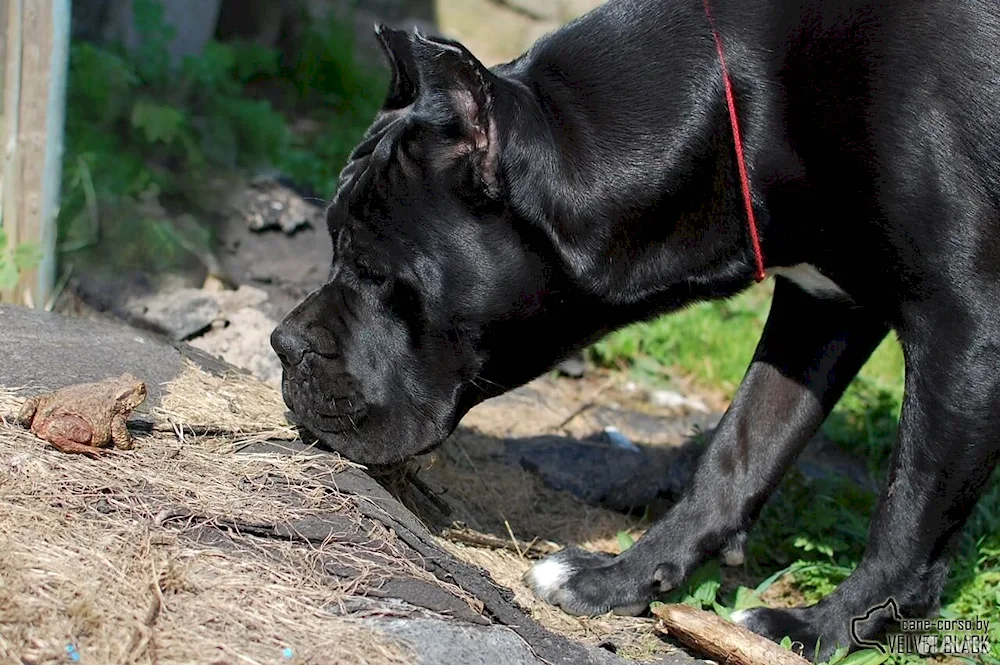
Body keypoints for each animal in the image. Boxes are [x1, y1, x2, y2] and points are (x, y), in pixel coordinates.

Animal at [272, 0, 1000, 652]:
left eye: (374, 269)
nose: (283, 343)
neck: (751, 98)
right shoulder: (821, 306)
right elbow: (738, 455)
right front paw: (617, 580)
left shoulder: (965, 330)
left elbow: (906, 518)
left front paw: (819, 630)